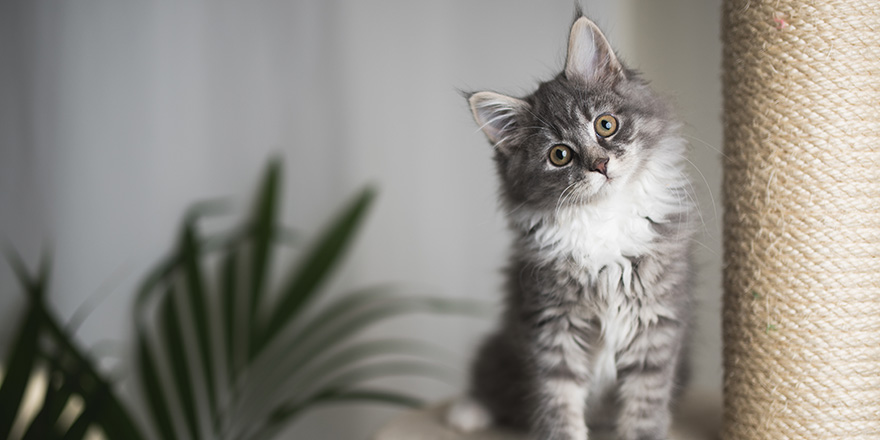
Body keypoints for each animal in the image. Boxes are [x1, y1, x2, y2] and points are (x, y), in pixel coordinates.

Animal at [450, 13, 696, 440]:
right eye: (560, 155)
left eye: (606, 125)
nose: (601, 164)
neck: (603, 217)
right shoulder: (551, 324)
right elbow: (558, 400)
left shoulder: (656, 321)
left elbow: (645, 404)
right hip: (500, 348)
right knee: (494, 387)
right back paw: (466, 413)